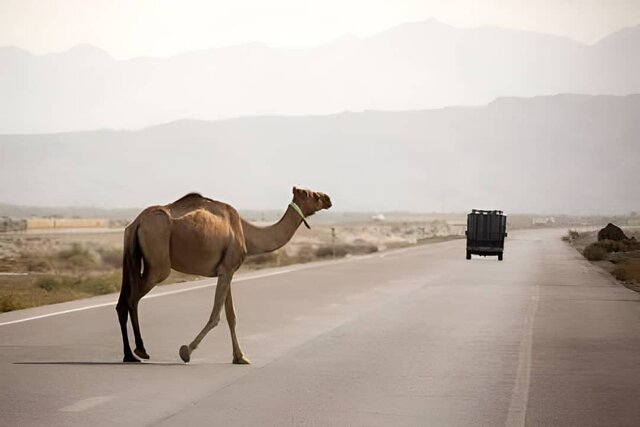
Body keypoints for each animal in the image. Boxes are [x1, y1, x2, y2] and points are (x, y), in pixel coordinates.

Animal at [115, 187, 332, 364]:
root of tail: (137, 222)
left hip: (132, 253)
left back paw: (129, 355)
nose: (328, 198)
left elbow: (231, 315)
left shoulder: (227, 270)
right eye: (311, 194)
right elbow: (216, 316)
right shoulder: (227, 269)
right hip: (158, 260)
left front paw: (240, 357)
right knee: (133, 298)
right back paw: (140, 350)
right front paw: (186, 351)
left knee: (122, 302)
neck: (246, 232)